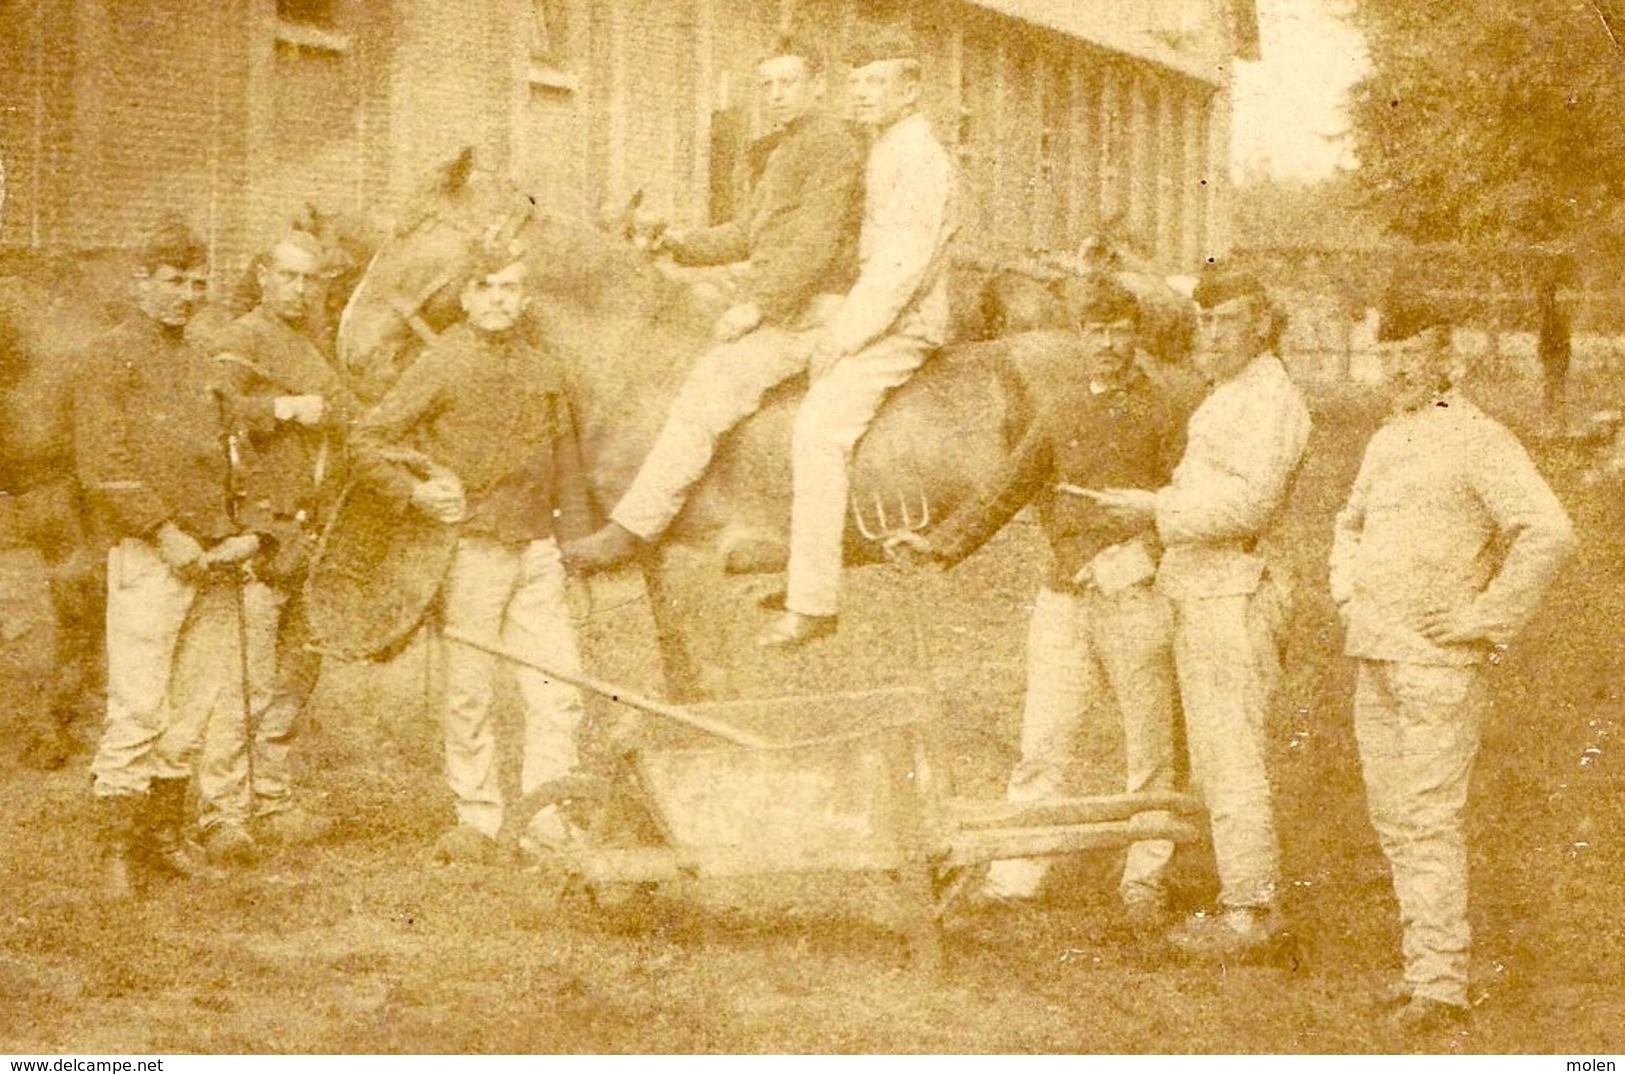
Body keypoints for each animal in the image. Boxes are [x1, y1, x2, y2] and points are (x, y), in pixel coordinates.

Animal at [333, 152, 1157, 705]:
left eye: (414, 228)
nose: (351, 347)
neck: (640, 362)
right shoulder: (662, 569)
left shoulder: (691, 566)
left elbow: (709, 690)